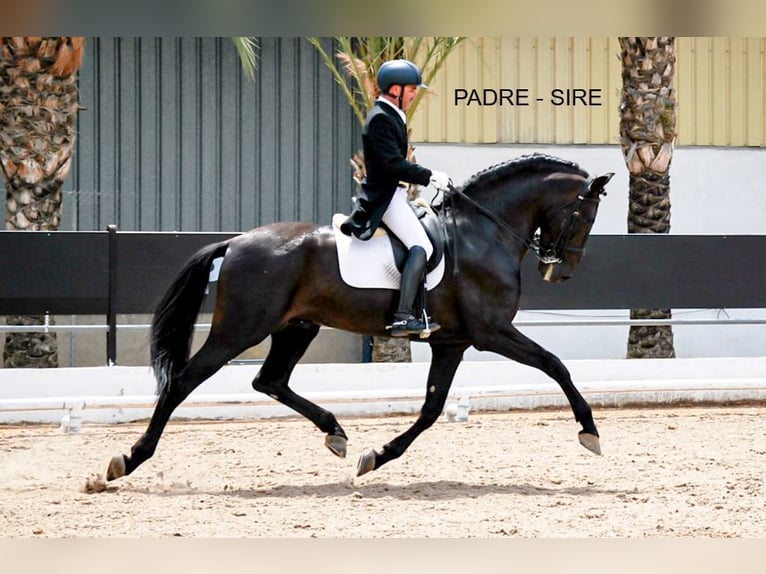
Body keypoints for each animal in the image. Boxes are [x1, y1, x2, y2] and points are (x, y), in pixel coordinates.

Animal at [105, 153, 614, 482]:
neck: (482, 232)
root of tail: (236, 241)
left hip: (297, 326)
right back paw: (128, 460)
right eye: (584, 216)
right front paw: (589, 432)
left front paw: (377, 455)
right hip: (240, 329)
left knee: (270, 380)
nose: (561, 271)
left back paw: (336, 433)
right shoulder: (492, 333)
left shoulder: (452, 341)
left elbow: (431, 409)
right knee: (183, 382)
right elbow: (555, 366)